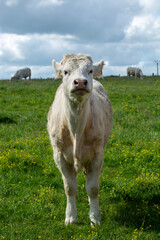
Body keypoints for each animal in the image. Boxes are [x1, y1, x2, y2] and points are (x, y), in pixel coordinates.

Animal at [47, 53, 112, 226]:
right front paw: (70, 216)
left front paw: (95, 217)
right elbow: (70, 187)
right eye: (65, 72)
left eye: (90, 70)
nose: (81, 82)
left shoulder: (97, 155)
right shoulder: (60, 156)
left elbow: (93, 187)